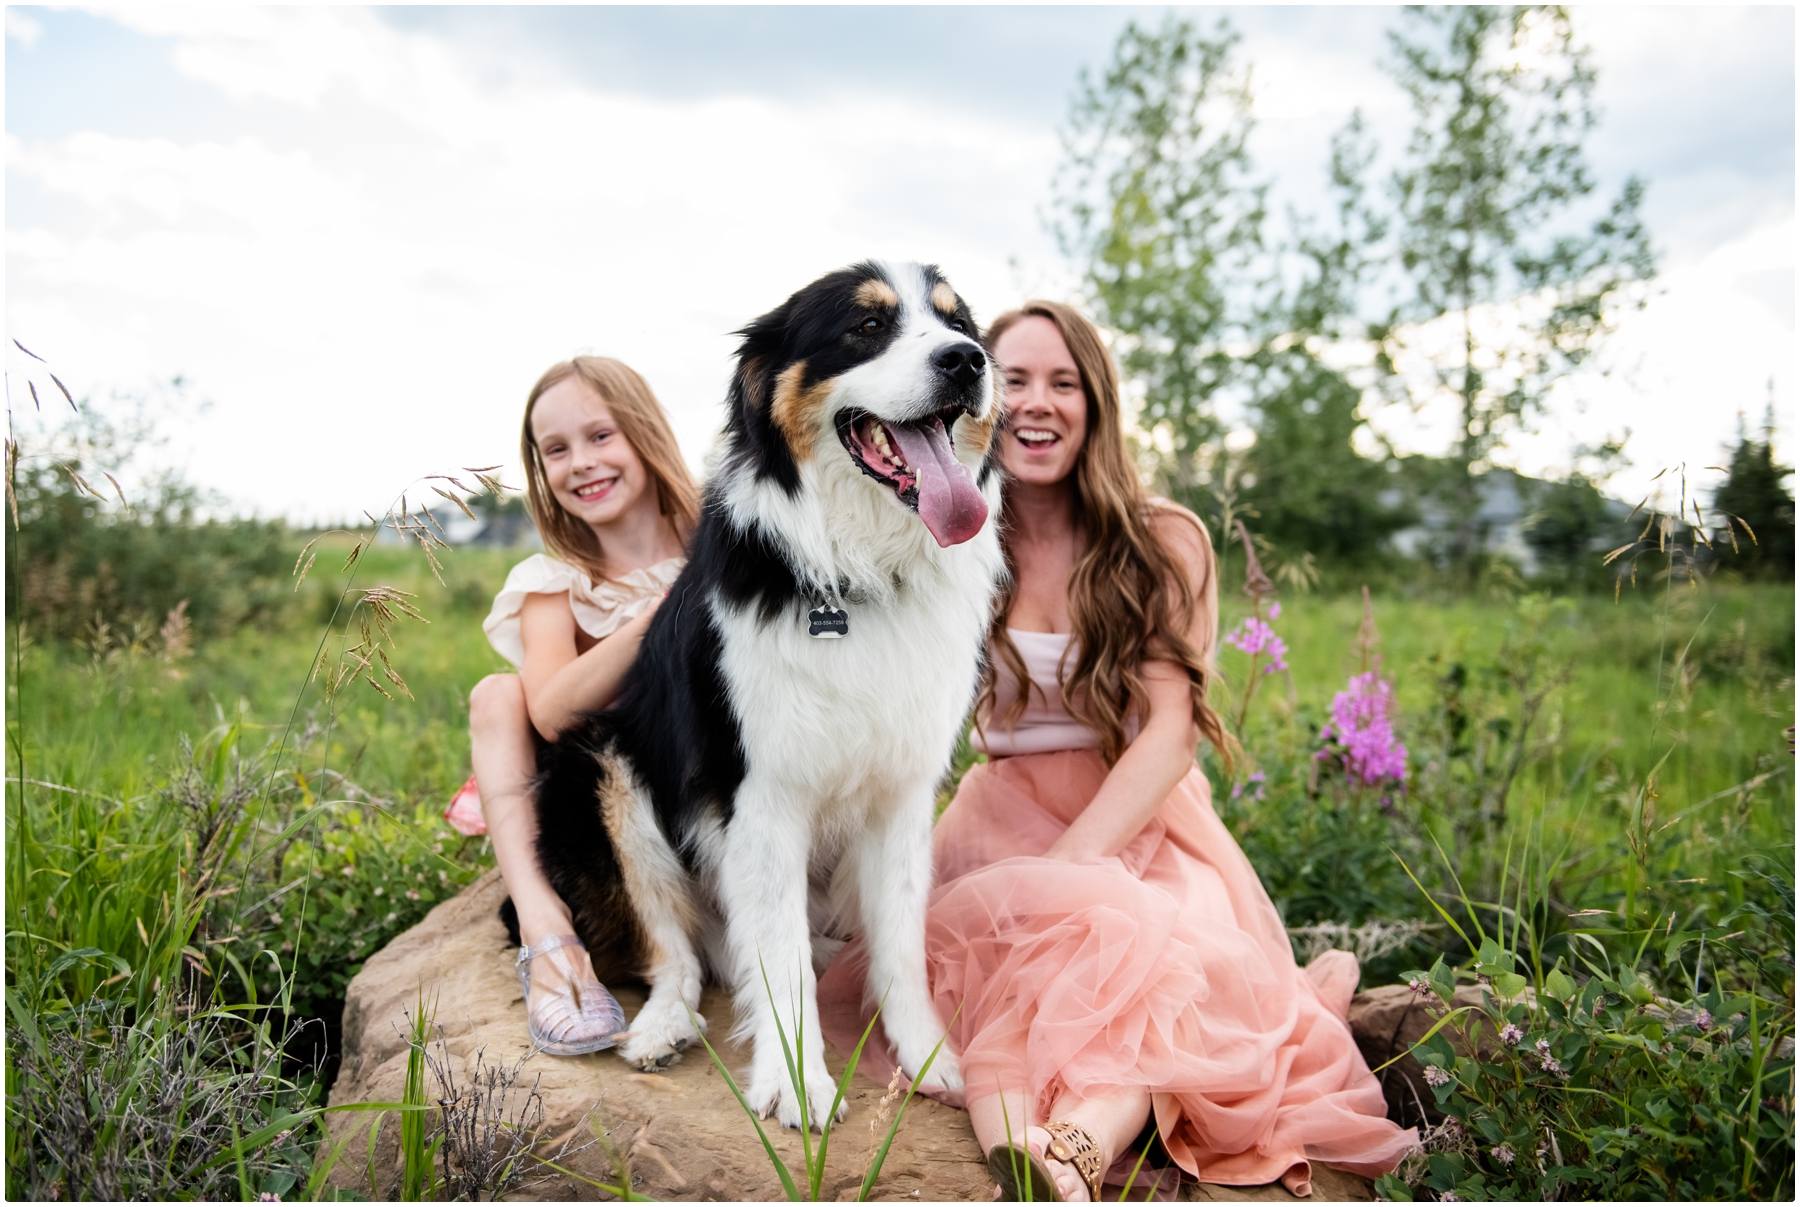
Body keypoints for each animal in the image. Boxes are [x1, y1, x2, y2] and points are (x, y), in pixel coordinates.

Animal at [525, 259, 1008, 1129]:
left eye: (961, 325)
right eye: (866, 326)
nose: (967, 361)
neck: (861, 573)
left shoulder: (904, 788)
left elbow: (903, 938)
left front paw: (927, 1057)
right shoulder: (758, 793)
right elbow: (776, 956)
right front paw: (796, 1082)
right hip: (598, 763)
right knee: (676, 949)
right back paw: (662, 1027)